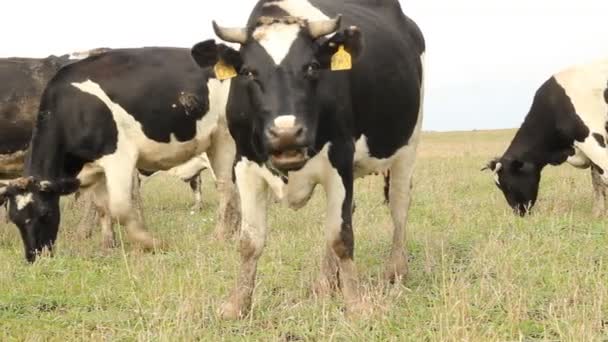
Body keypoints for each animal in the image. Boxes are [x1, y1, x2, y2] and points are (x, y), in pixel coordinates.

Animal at [0, 47, 241, 262]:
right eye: (16, 219)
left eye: (45, 214)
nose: (34, 257)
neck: (74, 108)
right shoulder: (95, 167)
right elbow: (102, 207)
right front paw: (108, 244)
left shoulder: (119, 157)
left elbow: (120, 207)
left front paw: (150, 243)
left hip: (225, 138)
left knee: (226, 188)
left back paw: (221, 235)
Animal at [192, 0, 426, 318]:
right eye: (249, 72)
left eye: (312, 67)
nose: (286, 133)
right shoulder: (243, 164)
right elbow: (249, 241)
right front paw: (236, 305)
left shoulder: (339, 158)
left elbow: (341, 236)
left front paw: (356, 304)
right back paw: (326, 283)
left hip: (407, 146)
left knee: (399, 206)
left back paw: (396, 270)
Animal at [484, 57, 608, 215]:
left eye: (507, 185)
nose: (518, 212)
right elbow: (597, 182)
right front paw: (598, 213)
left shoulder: (593, 142)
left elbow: (604, 177)